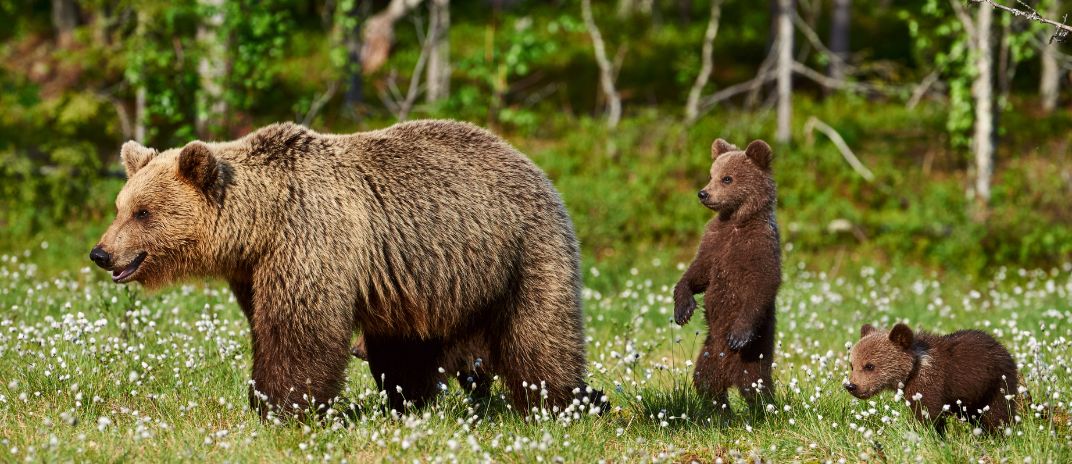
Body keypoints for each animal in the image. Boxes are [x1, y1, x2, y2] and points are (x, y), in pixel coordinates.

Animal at [86, 118, 600, 415]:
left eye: (143, 212)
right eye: (120, 206)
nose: (101, 253)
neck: (260, 226)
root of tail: (532, 164)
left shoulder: (312, 238)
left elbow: (300, 329)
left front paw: (282, 406)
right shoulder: (254, 270)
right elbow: (266, 324)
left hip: (522, 249)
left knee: (539, 334)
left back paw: (562, 402)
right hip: (422, 279)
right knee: (406, 347)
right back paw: (408, 402)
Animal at [668, 138, 780, 411]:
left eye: (727, 178)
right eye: (711, 175)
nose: (703, 193)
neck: (736, 221)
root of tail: (730, 375)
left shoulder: (759, 247)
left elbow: (762, 285)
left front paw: (738, 335)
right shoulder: (714, 243)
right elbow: (697, 273)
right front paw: (683, 309)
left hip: (755, 356)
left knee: (757, 388)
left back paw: (763, 411)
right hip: (708, 353)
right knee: (706, 383)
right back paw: (721, 410)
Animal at [844, 321, 1020, 432]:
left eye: (869, 366)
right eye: (852, 365)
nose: (851, 386)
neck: (913, 369)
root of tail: (1002, 347)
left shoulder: (929, 384)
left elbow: (927, 414)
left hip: (996, 384)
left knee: (999, 413)